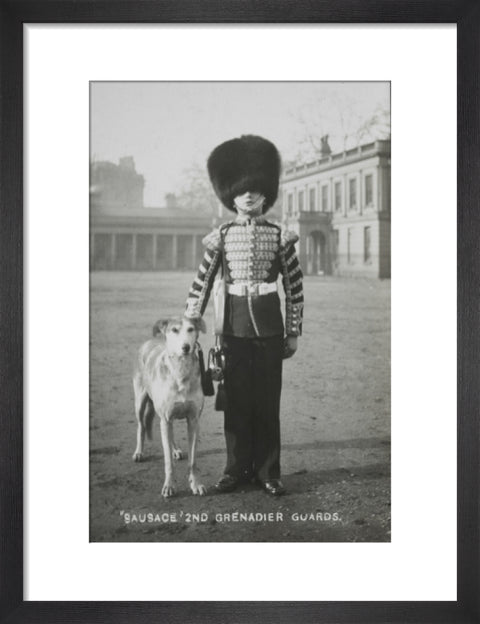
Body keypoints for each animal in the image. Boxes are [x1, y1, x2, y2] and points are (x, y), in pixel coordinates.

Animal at [133, 316, 206, 498]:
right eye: (174, 330)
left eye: (191, 329)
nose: (186, 347)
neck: (181, 371)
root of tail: (150, 341)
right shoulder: (165, 419)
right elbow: (168, 462)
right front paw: (169, 486)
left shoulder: (193, 420)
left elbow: (193, 460)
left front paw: (196, 484)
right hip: (140, 401)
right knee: (141, 426)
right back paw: (139, 452)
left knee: (169, 434)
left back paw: (176, 449)